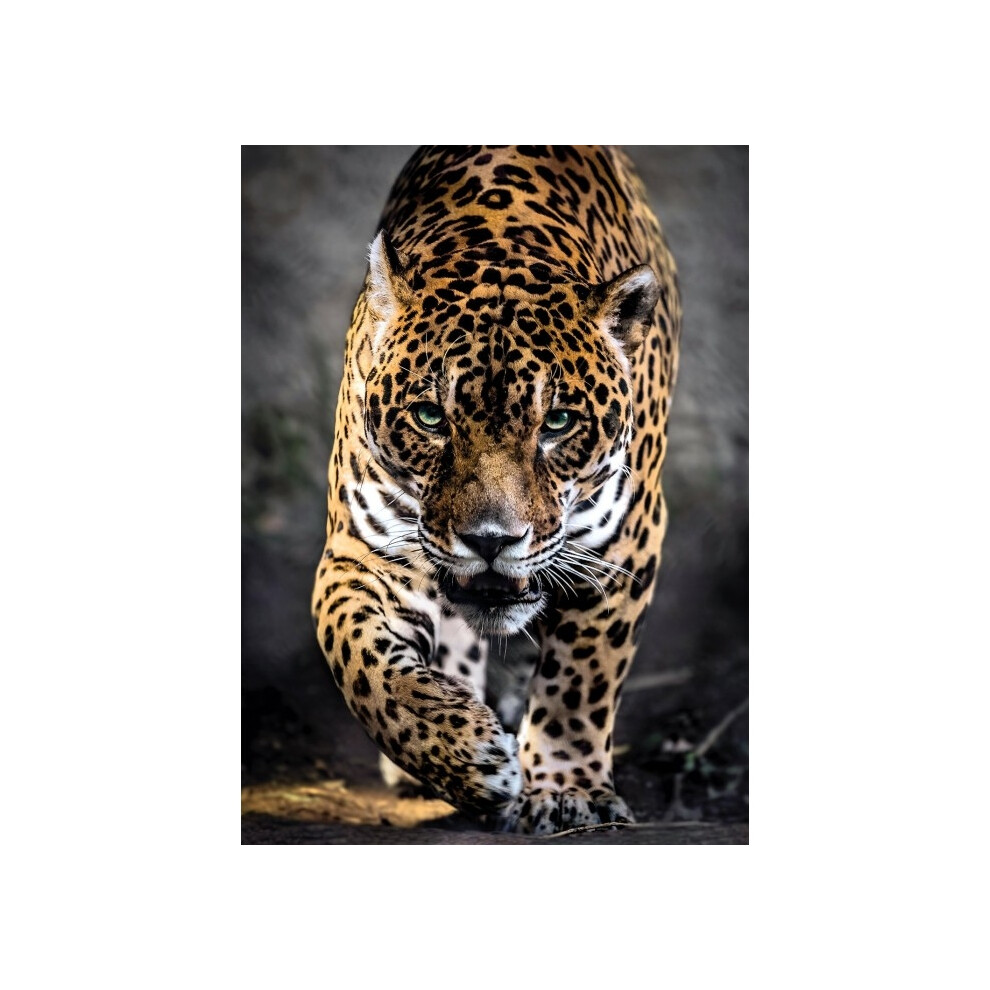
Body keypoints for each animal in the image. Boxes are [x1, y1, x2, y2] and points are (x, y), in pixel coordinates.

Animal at [312, 146, 681, 834]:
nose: (491, 541)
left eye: (557, 422)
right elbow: (359, 659)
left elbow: (581, 679)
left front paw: (566, 790)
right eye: (431, 417)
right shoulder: (361, 549)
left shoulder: (624, 546)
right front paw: (464, 755)